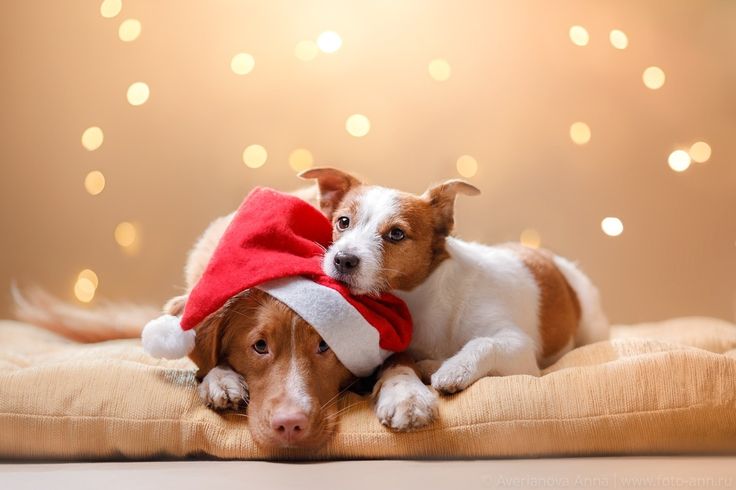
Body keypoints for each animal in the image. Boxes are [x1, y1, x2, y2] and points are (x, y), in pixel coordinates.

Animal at [300, 167, 608, 428]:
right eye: (343, 222)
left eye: (397, 234)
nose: (343, 260)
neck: (423, 301)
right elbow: (398, 365)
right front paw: (409, 389)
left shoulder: (520, 350)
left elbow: (484, 342)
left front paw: (454, 369)